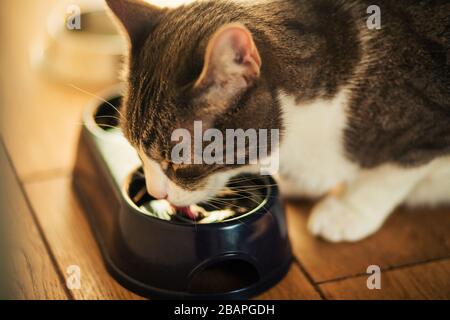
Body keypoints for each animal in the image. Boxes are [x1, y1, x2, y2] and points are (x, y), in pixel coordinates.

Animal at [106, 0, 450, 241]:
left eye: (179, 164)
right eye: (134, 149)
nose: (155, 193)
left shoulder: (428, 128)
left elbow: (388, 176)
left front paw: (347, 211)